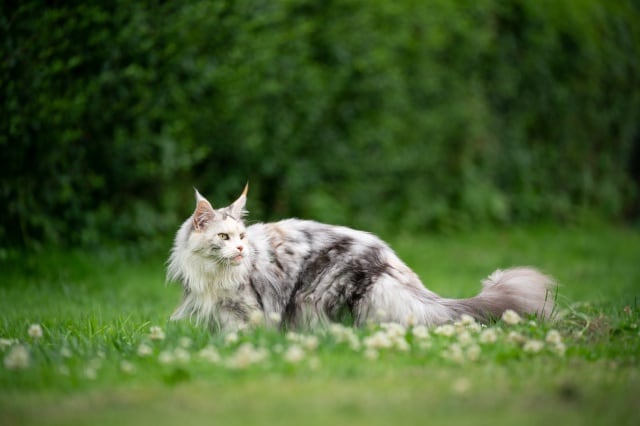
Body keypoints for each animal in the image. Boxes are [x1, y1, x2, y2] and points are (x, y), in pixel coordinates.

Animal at [166, 186, 556, 332]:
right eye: (223, 237)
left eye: (242, 237)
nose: (241, 250)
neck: (213, 275)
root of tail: (391, 263)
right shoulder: (219, 311)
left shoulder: (247, 310)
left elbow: (242, 334)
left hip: (315, 298)